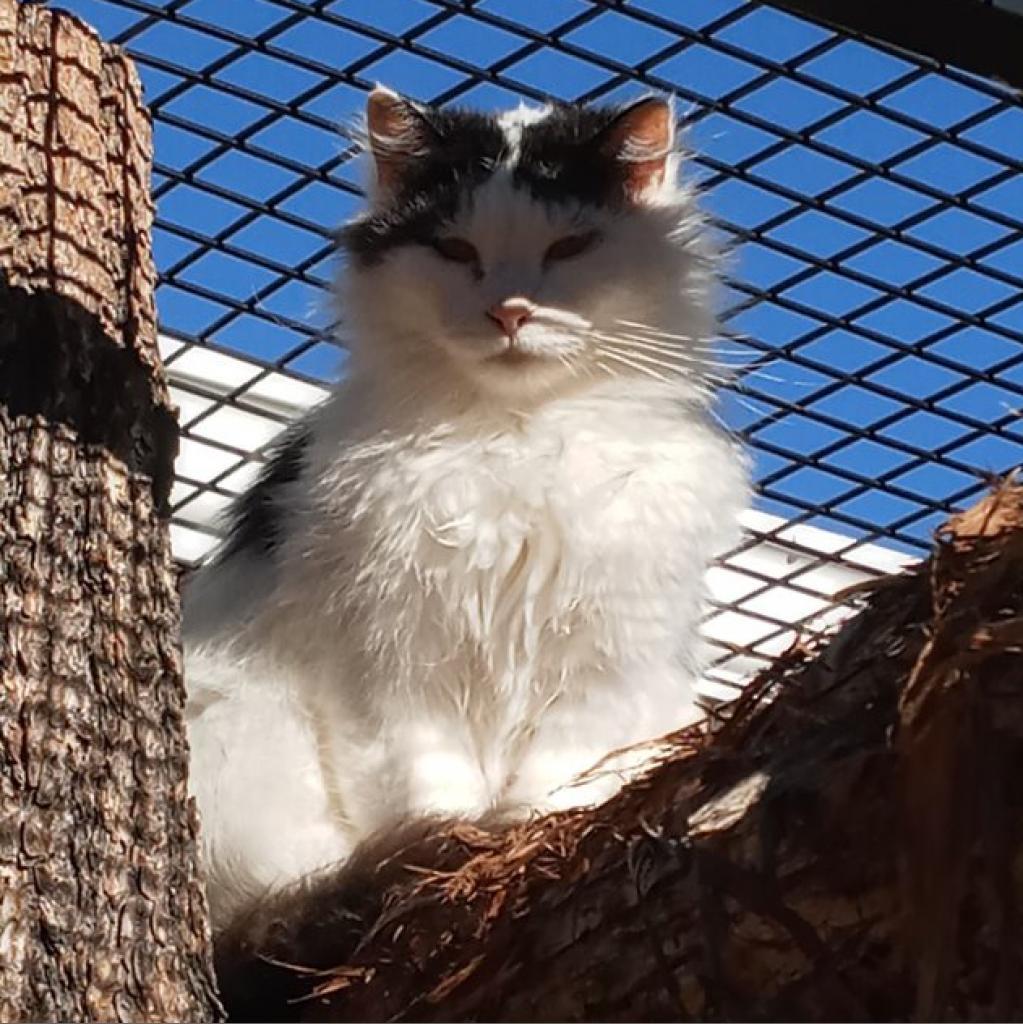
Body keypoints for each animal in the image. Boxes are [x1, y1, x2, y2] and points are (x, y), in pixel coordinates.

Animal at [182, 86, 753, 929]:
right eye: (455, 251)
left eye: (568, 248)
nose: (511, 311)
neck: (515, 439)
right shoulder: (392, 659)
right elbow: (423, 784)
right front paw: (448, 843)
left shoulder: (603, 654)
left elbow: (553, 774)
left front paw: (526, 828)